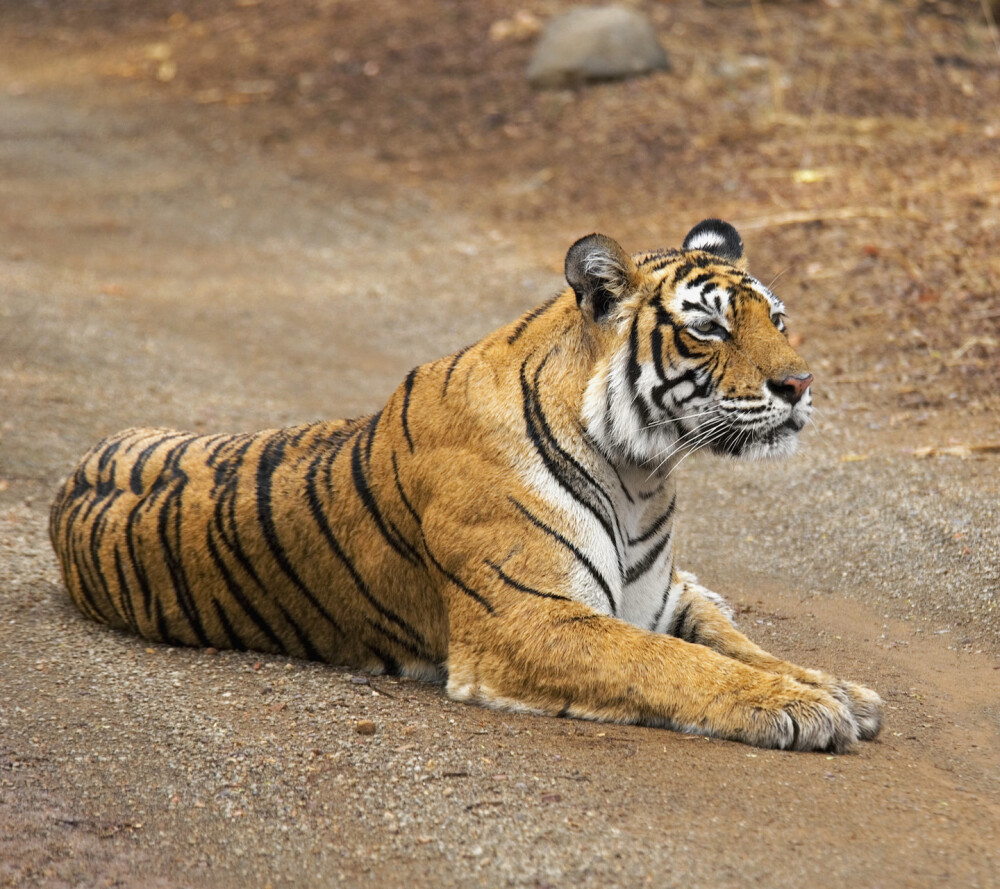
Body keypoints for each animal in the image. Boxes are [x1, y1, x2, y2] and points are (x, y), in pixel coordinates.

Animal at [52, 220, 884, 748]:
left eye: (779, 319)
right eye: (707, 328)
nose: (800, 384)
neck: (642, 472)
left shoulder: (658, 597)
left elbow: (739, 644)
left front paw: (838, 688)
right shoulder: (529, 618)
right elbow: (675, 663)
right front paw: (799, 706)